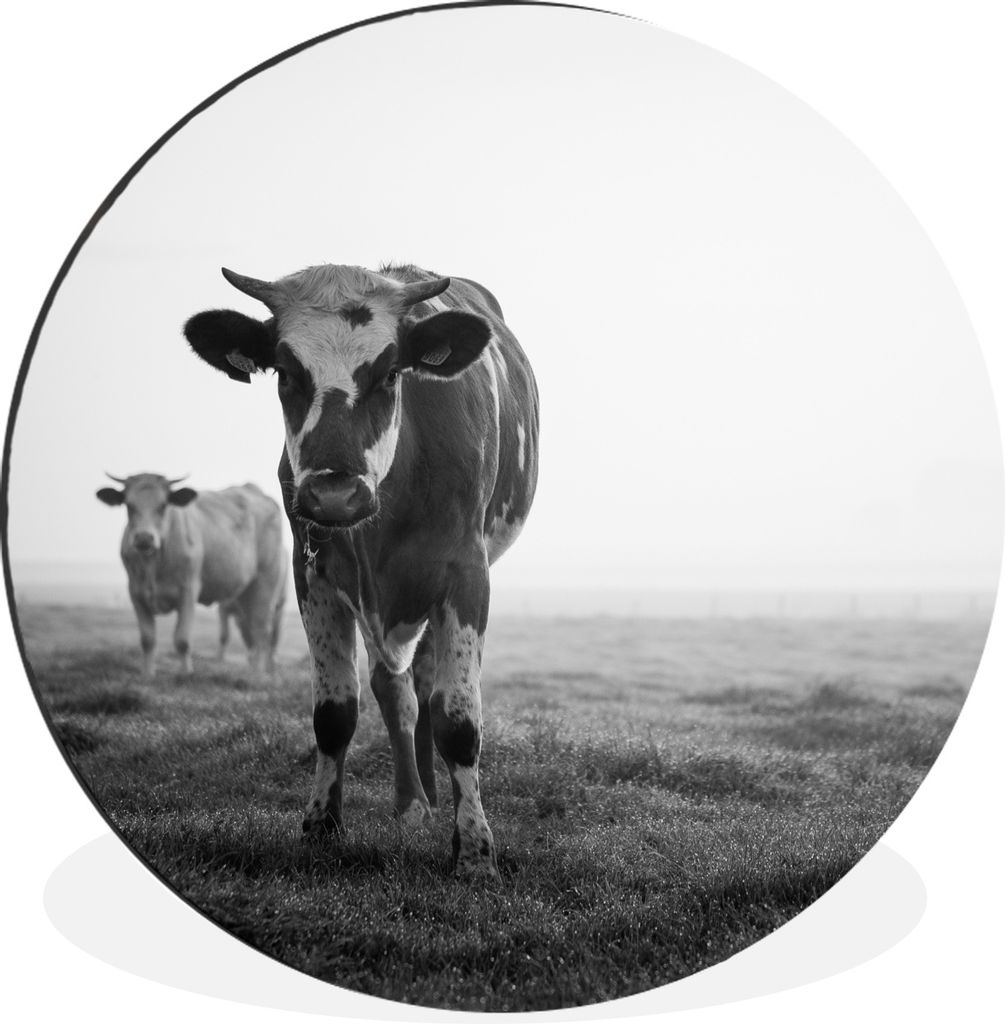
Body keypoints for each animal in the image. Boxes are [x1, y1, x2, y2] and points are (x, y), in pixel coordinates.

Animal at [96, 474, 288, 679]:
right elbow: (147, 639)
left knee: (262, 629)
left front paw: (185, 673)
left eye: (163, 506)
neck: (153, 563)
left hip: (266, 585)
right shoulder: (136, 593)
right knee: (251, 631)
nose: (144, 538)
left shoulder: (187, 591)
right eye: (129, 505)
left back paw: (258, 674)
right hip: (245, 595)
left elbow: (182, 639)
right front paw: (147, 674)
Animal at [183, 263, 539, 878]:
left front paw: (474, 850)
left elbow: (459, 721)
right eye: (285, 373)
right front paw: (321, 827)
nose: (334, 494)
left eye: (391, 373)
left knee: (426, 686)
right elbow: (336, 713)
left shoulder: (467, 575)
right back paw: (414, 801)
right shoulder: (314, 575)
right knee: (398, 690)